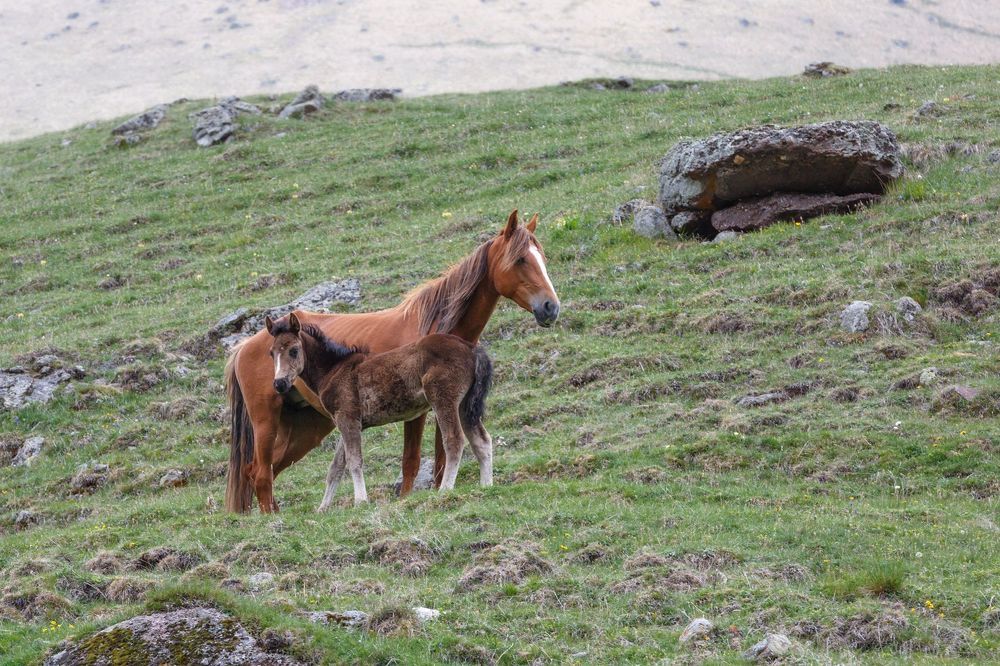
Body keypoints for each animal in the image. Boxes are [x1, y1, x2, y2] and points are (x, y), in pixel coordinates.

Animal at [265, 313, 494, 508]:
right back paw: (487, 485)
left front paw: (360, 501)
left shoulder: (348, 418)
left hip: (444, 400)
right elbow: (336, 466)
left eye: (294, 350)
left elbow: (354, 461)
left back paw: (445, 490)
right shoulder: (346, 421)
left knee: (454, 440)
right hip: (464, 405)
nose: (279, 384)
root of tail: (470, 348)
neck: (333, 370)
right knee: (482, 440)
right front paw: (323, 508)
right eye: (271, 353)